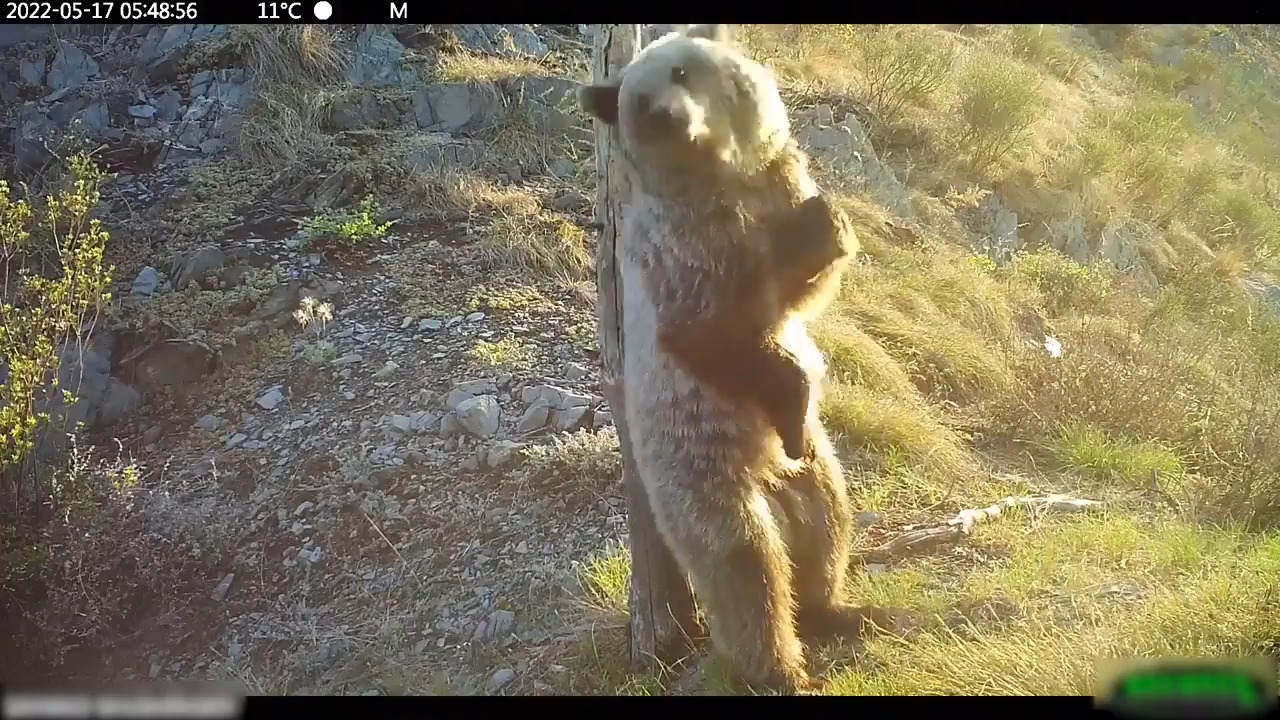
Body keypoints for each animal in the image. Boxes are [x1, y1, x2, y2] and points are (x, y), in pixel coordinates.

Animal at [577, 24, 893, 694]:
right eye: (639, 101)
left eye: (681, 71)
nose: (670, 116)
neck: (726, 184)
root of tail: (763, 477)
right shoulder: (685, 262)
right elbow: (719, 333)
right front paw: (792, 388)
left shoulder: (779, 191)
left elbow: (806, 282)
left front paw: (828, 226)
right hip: (699, 478)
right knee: (747, 573)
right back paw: (782, 669)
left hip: (811, 476)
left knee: (827, 520)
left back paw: (839, 608)